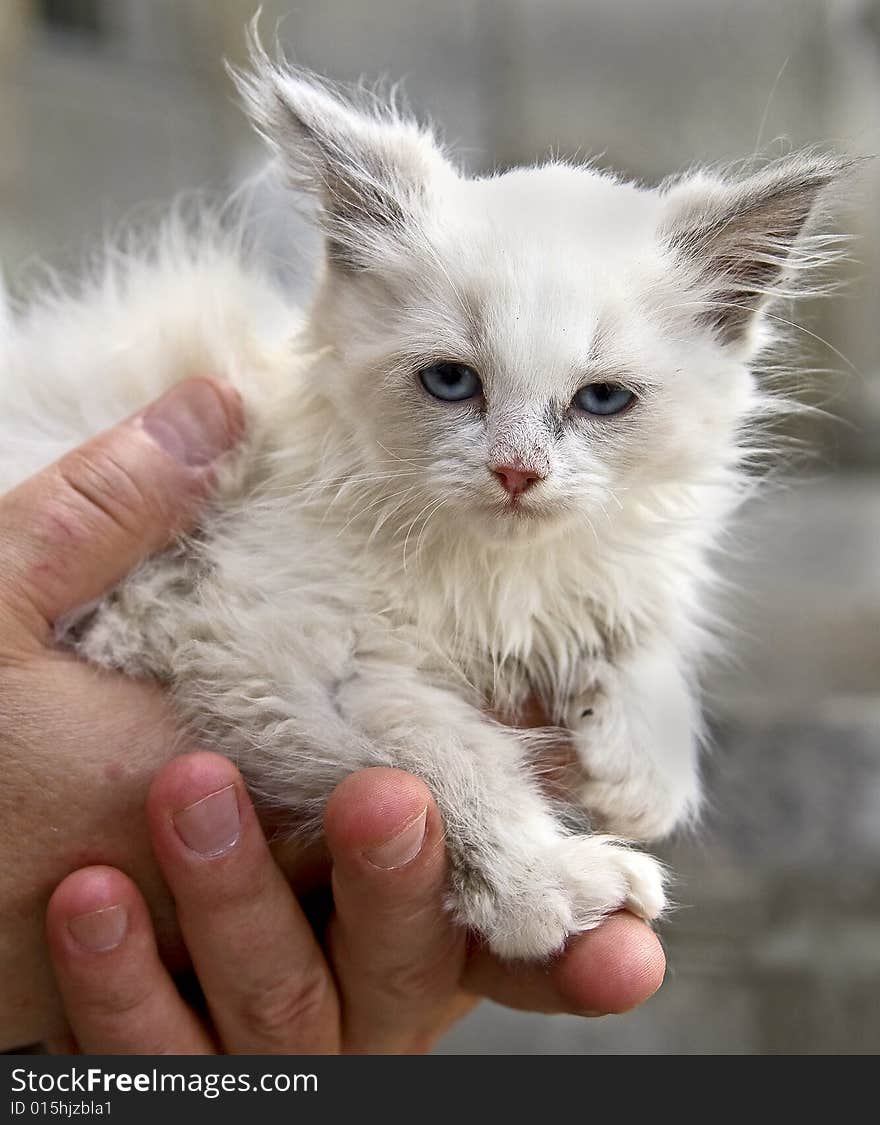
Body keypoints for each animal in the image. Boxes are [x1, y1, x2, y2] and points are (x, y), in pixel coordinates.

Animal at [0, 37, 850, 958]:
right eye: (451, 382)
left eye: (601, 400)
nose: (517, 471)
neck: (496, 580)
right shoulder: (267, 644)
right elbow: (450, 755)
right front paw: (543, 887)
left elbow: (642, 640)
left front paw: (639, 767)